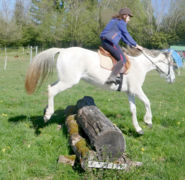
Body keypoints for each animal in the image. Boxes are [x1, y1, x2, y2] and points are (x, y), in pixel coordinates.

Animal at [24, 47, 175, 134]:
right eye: (172, 64)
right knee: (52, 90)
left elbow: (133, 110)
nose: (173, 79)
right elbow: (148, 102)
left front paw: (138, 129)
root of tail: (63, 50)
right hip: (69, 81)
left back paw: (46, 110)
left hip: (65, 79)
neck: (140, 65)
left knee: (50, 87)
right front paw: (148, 121)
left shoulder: (130, 92)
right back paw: (48, 114)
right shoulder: (137, 90)